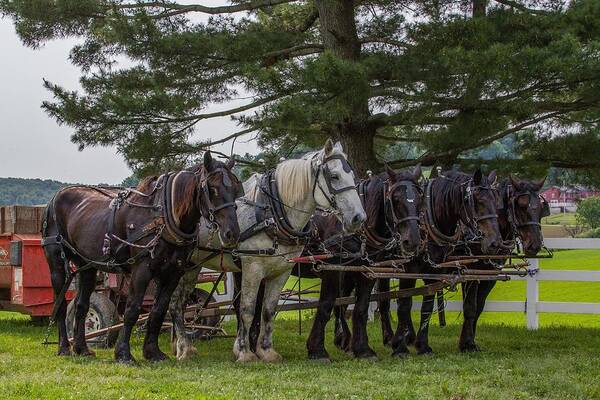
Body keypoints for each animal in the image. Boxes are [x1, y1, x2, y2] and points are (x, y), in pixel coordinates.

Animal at [41, 152, 241, 362]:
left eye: (235, 188)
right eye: (212, 188)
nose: (232, 233)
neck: (163, 215)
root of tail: (54, 198)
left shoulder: (173, 272)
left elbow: (159, 310)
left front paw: (153, 351)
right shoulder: (141, 270)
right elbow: (132, 309)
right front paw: (123, 353)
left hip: (87, 265)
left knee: (81, 305)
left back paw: (81, 348)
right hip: (56, 263)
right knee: (61, 305)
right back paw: (64, 347)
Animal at [169, 139, 366, 360]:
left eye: (352, 176)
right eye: (334, 176)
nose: (358, 217)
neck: (271, 214)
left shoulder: (282, 270)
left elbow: (268, 310)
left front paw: (266, 351)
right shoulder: (252, 267)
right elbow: (247, 310)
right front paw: (245, 352)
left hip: (193, 266)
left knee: (180, 303)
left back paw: (182, 346)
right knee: (175, 304)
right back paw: (183, 347)